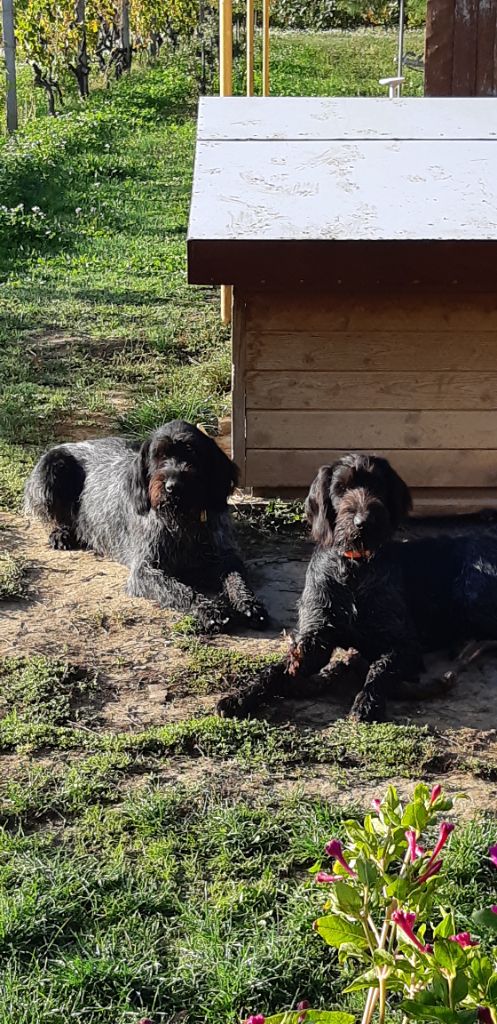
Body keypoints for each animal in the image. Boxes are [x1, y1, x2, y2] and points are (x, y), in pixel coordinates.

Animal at [24, 417, 266, 630]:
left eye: (192, 453)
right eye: (159, 456)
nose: (173, 486)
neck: (182, 520)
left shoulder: (225, 557)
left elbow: (236, 579)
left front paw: (248, 604)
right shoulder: (145, 571)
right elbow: (180, 590)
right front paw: (210, 611)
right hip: (52, 467)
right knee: (47, 515)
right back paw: (61, 532)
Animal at [218, 452, 497, 724]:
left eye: (377, 485)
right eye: (340, 488)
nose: (364, 521)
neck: (353, 568)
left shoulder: (403, 643)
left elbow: (381, 668)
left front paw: (368, 700)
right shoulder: (316, 637)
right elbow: (277, 669)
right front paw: (241, 696)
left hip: (470, 594)